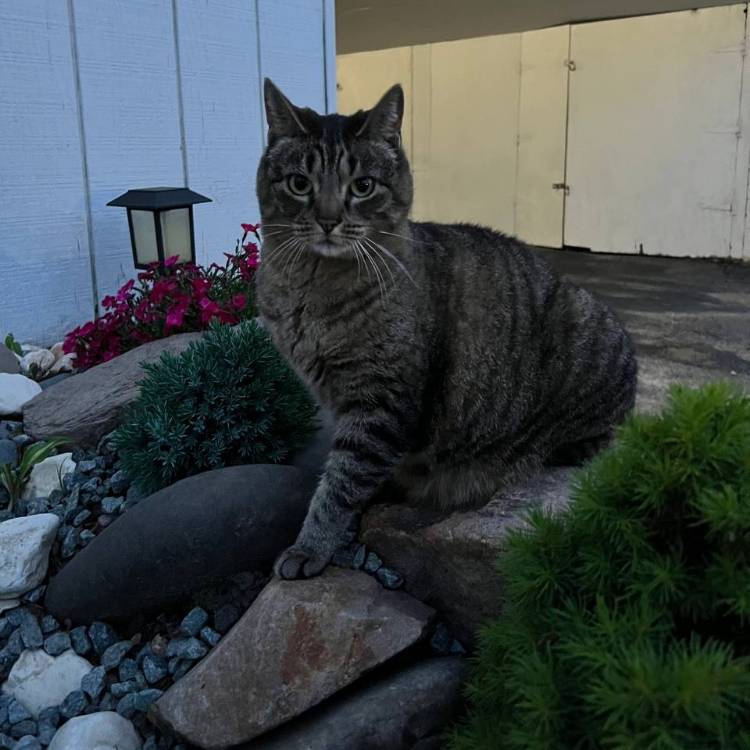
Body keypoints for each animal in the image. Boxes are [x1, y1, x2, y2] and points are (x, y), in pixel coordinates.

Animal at [256, 78, 636, 580]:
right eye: (300, 183)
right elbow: (342, 473)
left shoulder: (381, 403)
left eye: (363, 186)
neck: (313, 287)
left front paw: (310, 546)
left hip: (590, 330)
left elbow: (341, 482)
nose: (328, 220)